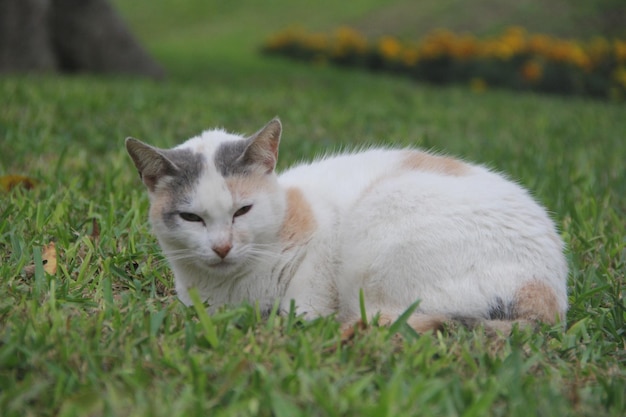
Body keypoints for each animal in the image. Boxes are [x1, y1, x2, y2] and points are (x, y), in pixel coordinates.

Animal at [125, 118, 564, 334]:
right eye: (192, 218)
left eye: (242, 211)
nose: (221, 247)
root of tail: (550, 296)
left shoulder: (321, 251)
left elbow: (303, 309)